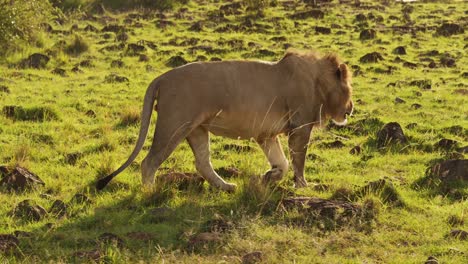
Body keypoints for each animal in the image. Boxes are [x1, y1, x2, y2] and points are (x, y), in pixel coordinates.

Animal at [97, 51, 352, 192]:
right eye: (349, 88)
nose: (351, 108)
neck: (319, 80)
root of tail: (161, 77)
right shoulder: (300, 126)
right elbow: (298, 161)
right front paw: (303, 186)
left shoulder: (266, 134)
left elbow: (283, 163)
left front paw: (267, 177)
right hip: (173, 125)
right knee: (149, 162)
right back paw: (150, 193)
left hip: (196, 129)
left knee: (202, 163)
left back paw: (228, 187)